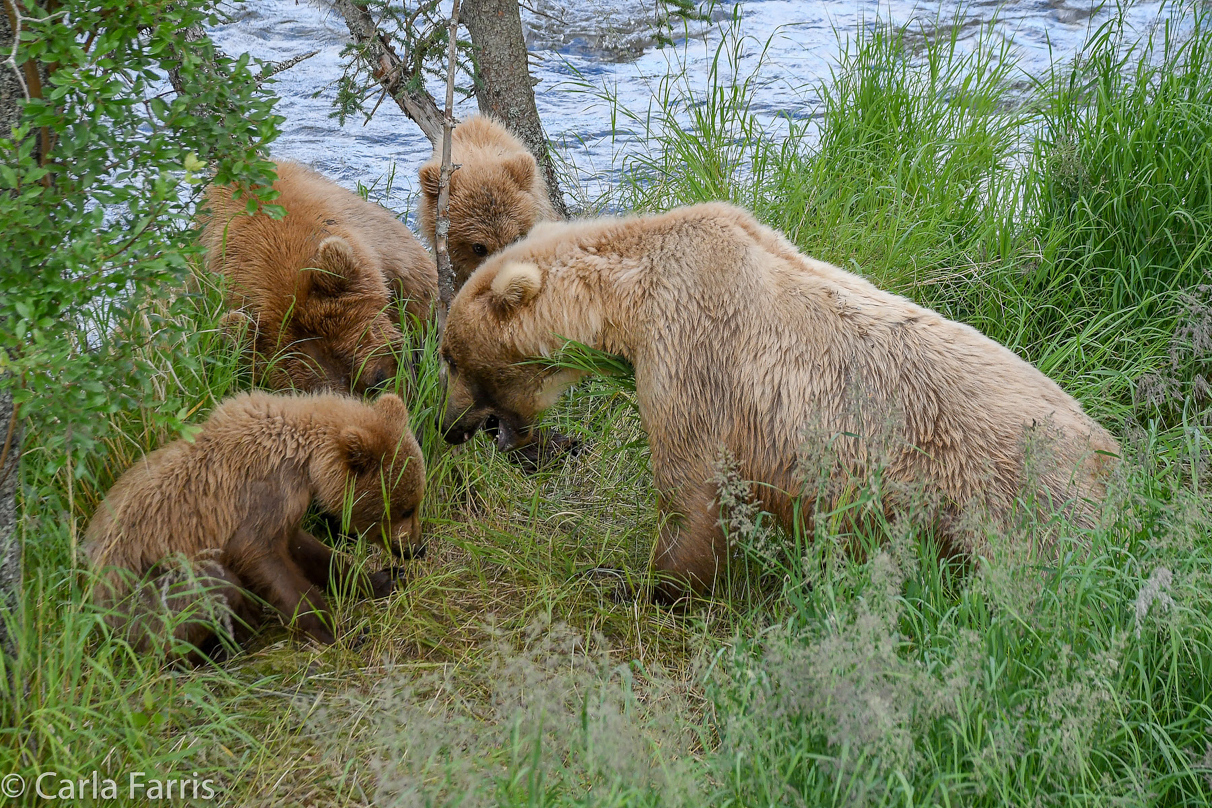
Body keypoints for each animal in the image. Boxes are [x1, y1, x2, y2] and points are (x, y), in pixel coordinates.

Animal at [85, 390, 426, 658]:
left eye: (417, 501)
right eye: (405, 508)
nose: (416, 549)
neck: (304, 459)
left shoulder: (286, 508)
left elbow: (309, 551)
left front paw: (383, 578)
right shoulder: (255, 500)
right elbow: (266, 562)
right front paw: (338, 631)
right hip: (142, 593)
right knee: (214, 586)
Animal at [441, 202, 1119, 600]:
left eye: (450, 356)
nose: (451, 427)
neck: (631, 300)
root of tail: (1106, 448)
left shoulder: (692, 354)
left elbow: (691, 488)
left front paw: (638, 581)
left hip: (1013, 500)